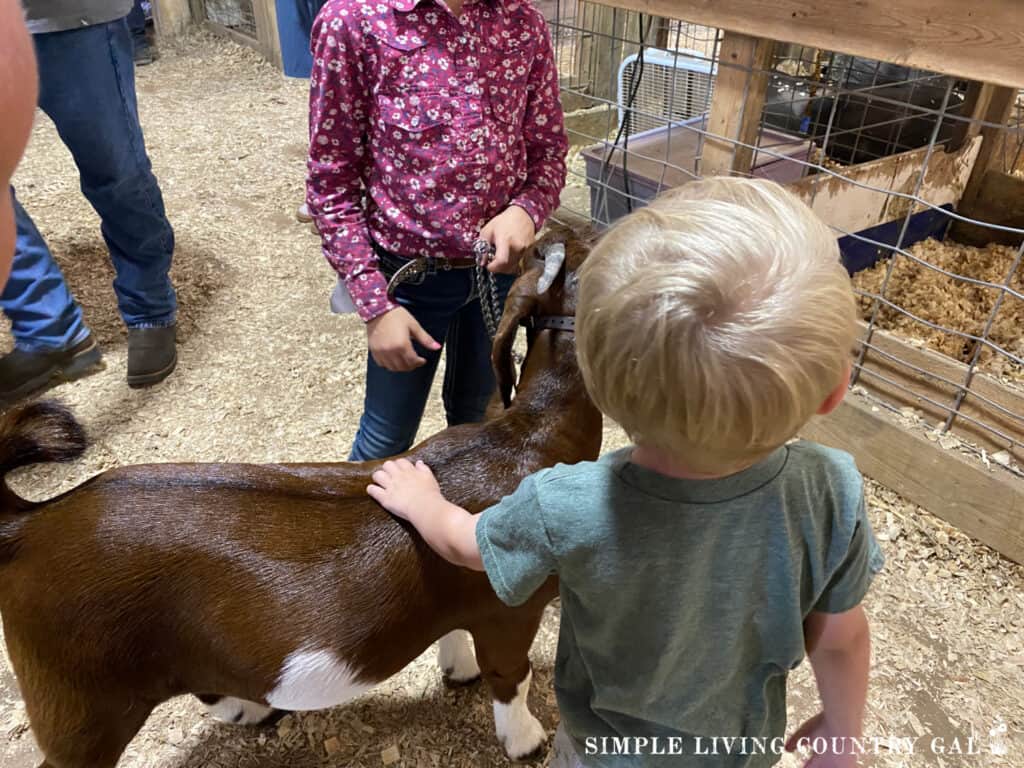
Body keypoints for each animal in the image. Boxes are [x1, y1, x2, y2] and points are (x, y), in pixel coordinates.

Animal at [0, 234, 602, 768]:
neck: (526, 436)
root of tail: (29, 524)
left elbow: (455, 633)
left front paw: (458, 671)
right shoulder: (511, 608)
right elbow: (511, 676)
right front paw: (526, 742)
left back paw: (249, 710)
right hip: (82, 705)